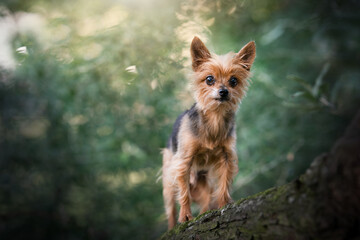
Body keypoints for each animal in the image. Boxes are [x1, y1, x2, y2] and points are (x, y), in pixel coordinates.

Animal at [160, 35, 256, 229]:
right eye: (209, 79)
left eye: (234, 81)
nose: (223, 91)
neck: (214, 118)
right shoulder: (183, 162)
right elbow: (184, 193)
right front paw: (185, 216)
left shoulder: (227, 157)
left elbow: (224, 182)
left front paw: (224, 203)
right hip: (168, 180)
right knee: (171, 207)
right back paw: (172, 226)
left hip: (203, 181)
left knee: (205, 199)